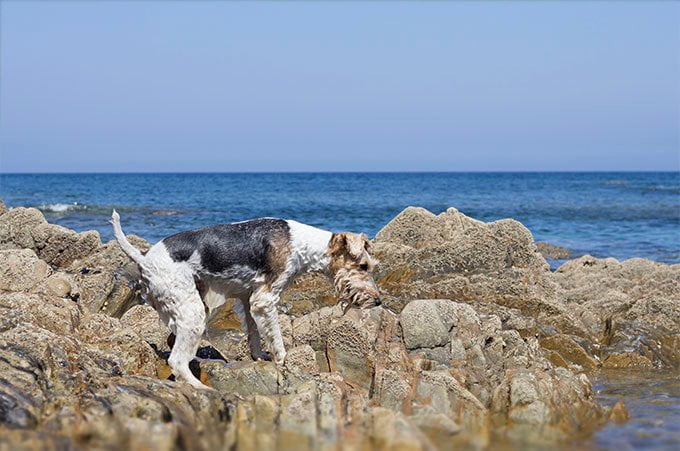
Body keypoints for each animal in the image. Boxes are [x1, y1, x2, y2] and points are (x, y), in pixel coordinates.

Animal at [109, 211, 380, 388]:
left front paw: (259, 357)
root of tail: (143, 258)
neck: (302, 244)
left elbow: (254, 334)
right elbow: (277, 341)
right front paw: (282, 363)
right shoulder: (266, 299)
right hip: (193, 311)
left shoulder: (249, 297)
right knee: (176, 361)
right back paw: (202, 388)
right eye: (363, 266)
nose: (377, 301)